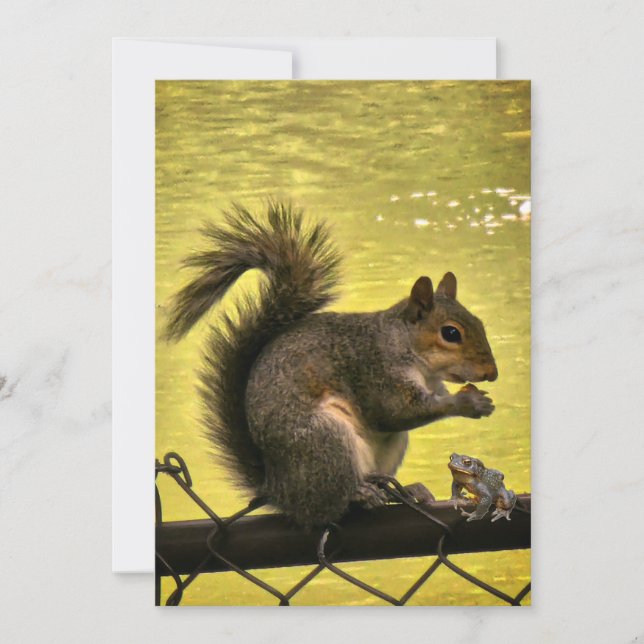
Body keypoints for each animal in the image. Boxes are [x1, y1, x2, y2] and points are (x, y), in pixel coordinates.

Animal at [166, 201, 498, 529]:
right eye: (451, 333)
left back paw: (402, 489)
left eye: (480, 322)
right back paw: (360, 494)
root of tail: (280, 491)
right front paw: (469, 403)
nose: (491, 374)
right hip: (325, 440)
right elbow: (396, 412)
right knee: (327, 507)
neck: (407, 349)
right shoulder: (375, 370)